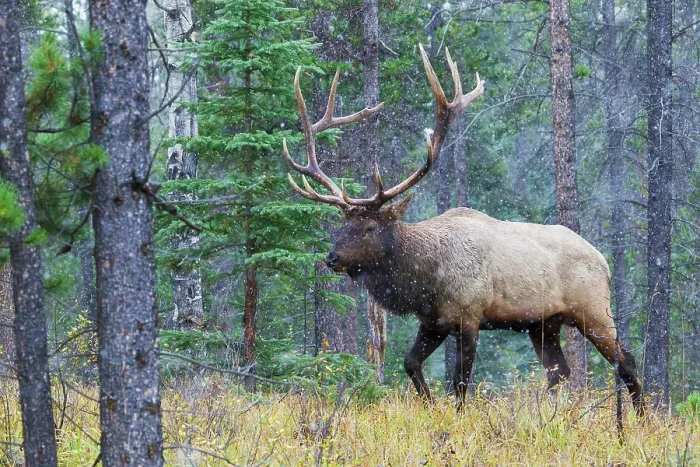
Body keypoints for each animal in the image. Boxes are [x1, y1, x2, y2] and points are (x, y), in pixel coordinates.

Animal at [281, 44, 643, 414]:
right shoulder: (433, 322)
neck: (425, 278)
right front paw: (430, 409)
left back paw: (640, 418)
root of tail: (603, 261)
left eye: (369, 227)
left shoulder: (470, 316)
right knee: (559, 372)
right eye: (341, 226)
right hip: (543, 323)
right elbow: (411, 364)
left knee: (626, 361)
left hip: (593, 309)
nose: (332, 258)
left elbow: (460, 383)